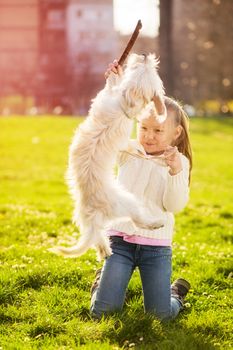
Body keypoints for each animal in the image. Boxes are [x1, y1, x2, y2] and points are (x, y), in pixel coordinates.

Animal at [50, 52, 167, 260]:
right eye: (141, 67)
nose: (144, 54)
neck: (123, 103)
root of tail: (94, 210)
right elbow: (111, 85)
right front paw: (114, 71)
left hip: (121, 206)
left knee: (123, 226)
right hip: (125, 204)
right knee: (128, 224)